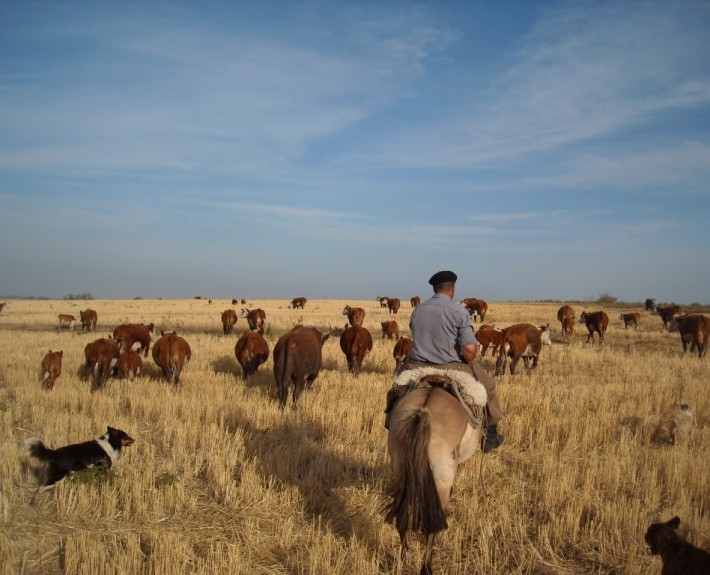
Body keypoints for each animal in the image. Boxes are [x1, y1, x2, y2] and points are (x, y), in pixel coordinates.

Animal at [384, 374, 490, 575]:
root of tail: (424, 410)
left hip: (400, 472)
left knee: (403, 518)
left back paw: (404, 558)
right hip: (441, 480)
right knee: (432, 524)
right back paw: (426, 567)